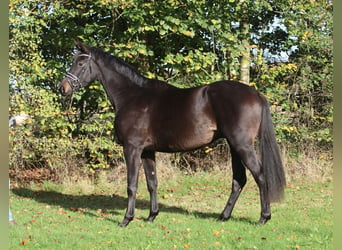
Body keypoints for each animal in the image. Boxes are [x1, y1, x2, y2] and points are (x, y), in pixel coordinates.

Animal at [59, 40, 286, 227]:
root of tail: (255, 94)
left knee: (260, 176)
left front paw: (126, 219)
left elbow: (132, 184)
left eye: (81, 63)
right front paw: (152, 216)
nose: (62, 88)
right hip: (234, 146)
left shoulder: (132, 148)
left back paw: (263, 218)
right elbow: (152, 183)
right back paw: (223, 216)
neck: (132, 96)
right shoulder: (147, 151)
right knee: (239, 180)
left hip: (242, 145)